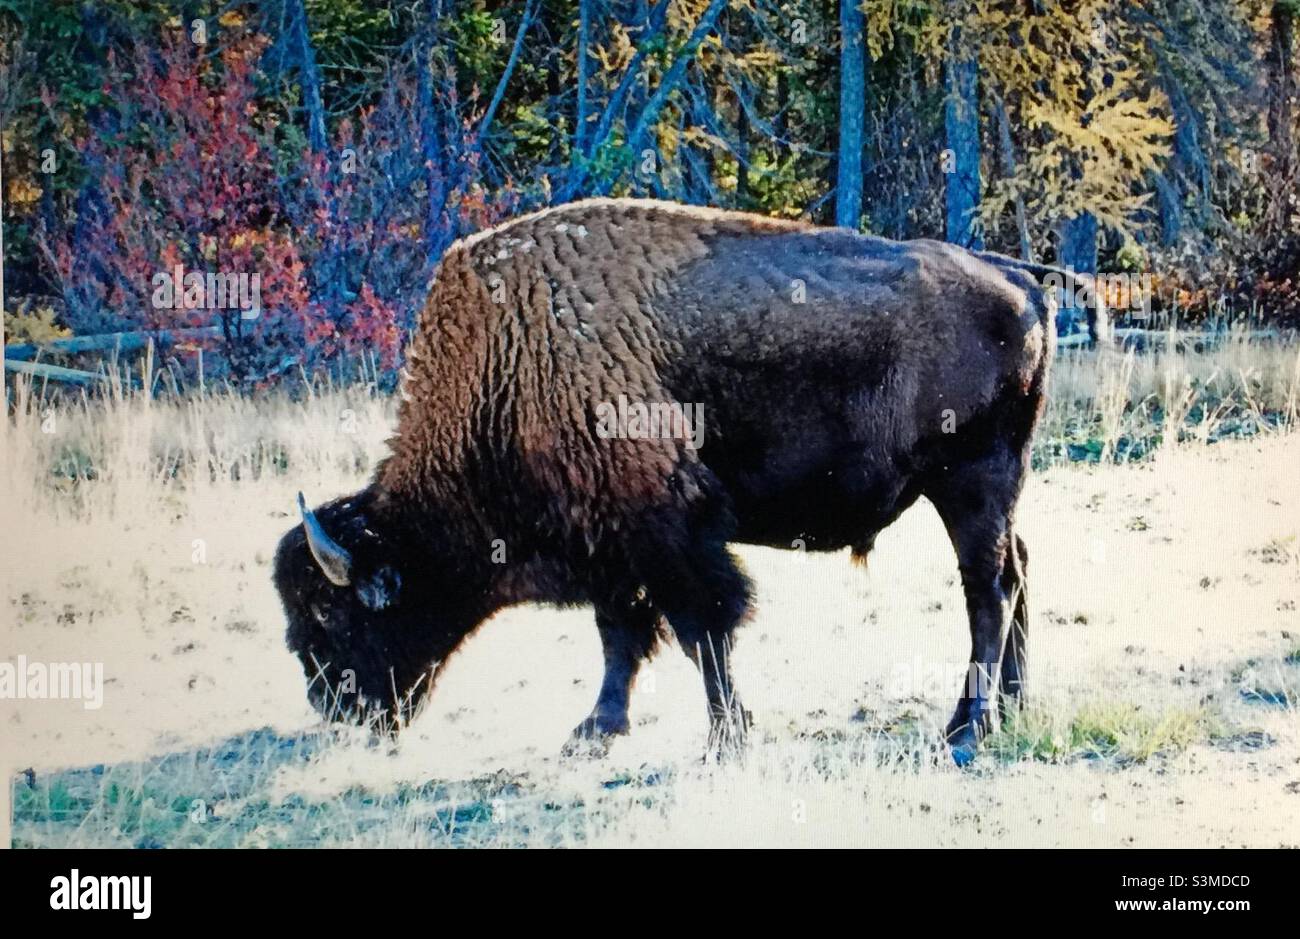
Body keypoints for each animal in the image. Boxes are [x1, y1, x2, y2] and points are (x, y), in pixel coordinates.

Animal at [276, 195, 1107, 759]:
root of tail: (1016, 274)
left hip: (969, 483)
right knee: (1016, 571)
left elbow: (701, 630)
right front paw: (594, 729)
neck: (512, 363)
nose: (336, 710)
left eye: (332, 617)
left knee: (988, 590)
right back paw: (1010, 707)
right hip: (991, 489)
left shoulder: (668, 534)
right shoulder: (613, 542)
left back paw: (966, 727)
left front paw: (725, 737)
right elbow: (622, 637)